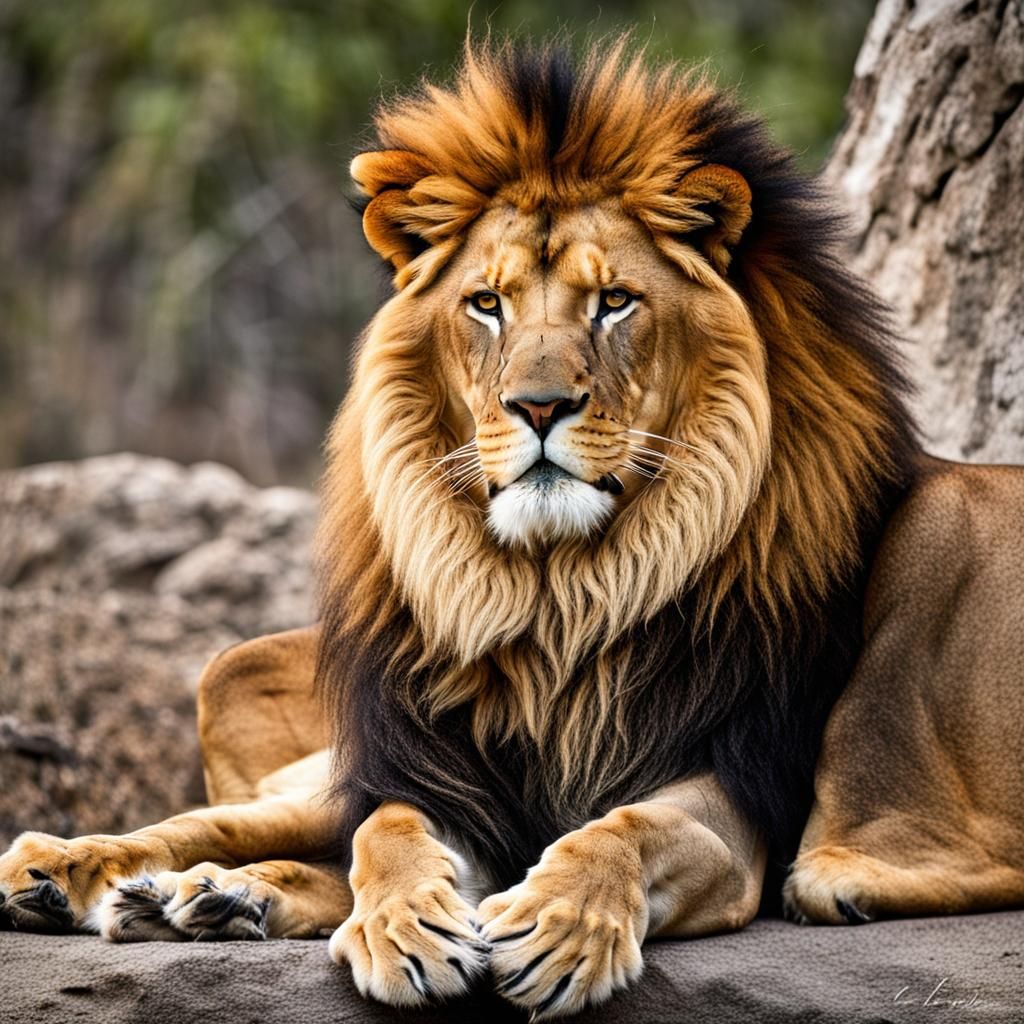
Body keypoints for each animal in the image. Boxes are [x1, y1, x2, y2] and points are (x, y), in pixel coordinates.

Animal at [2, 39, 1022, 1020]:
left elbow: (627, 827)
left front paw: (561, 926)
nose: (537, 406)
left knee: (878, 865)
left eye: (614, 301)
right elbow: (384, 831)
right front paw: (403, 927)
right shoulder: (435, 770)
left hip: (949, 519)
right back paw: (93, 877)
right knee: (254, 807)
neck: (553, 596)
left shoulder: (731, 789)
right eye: (486, 304)